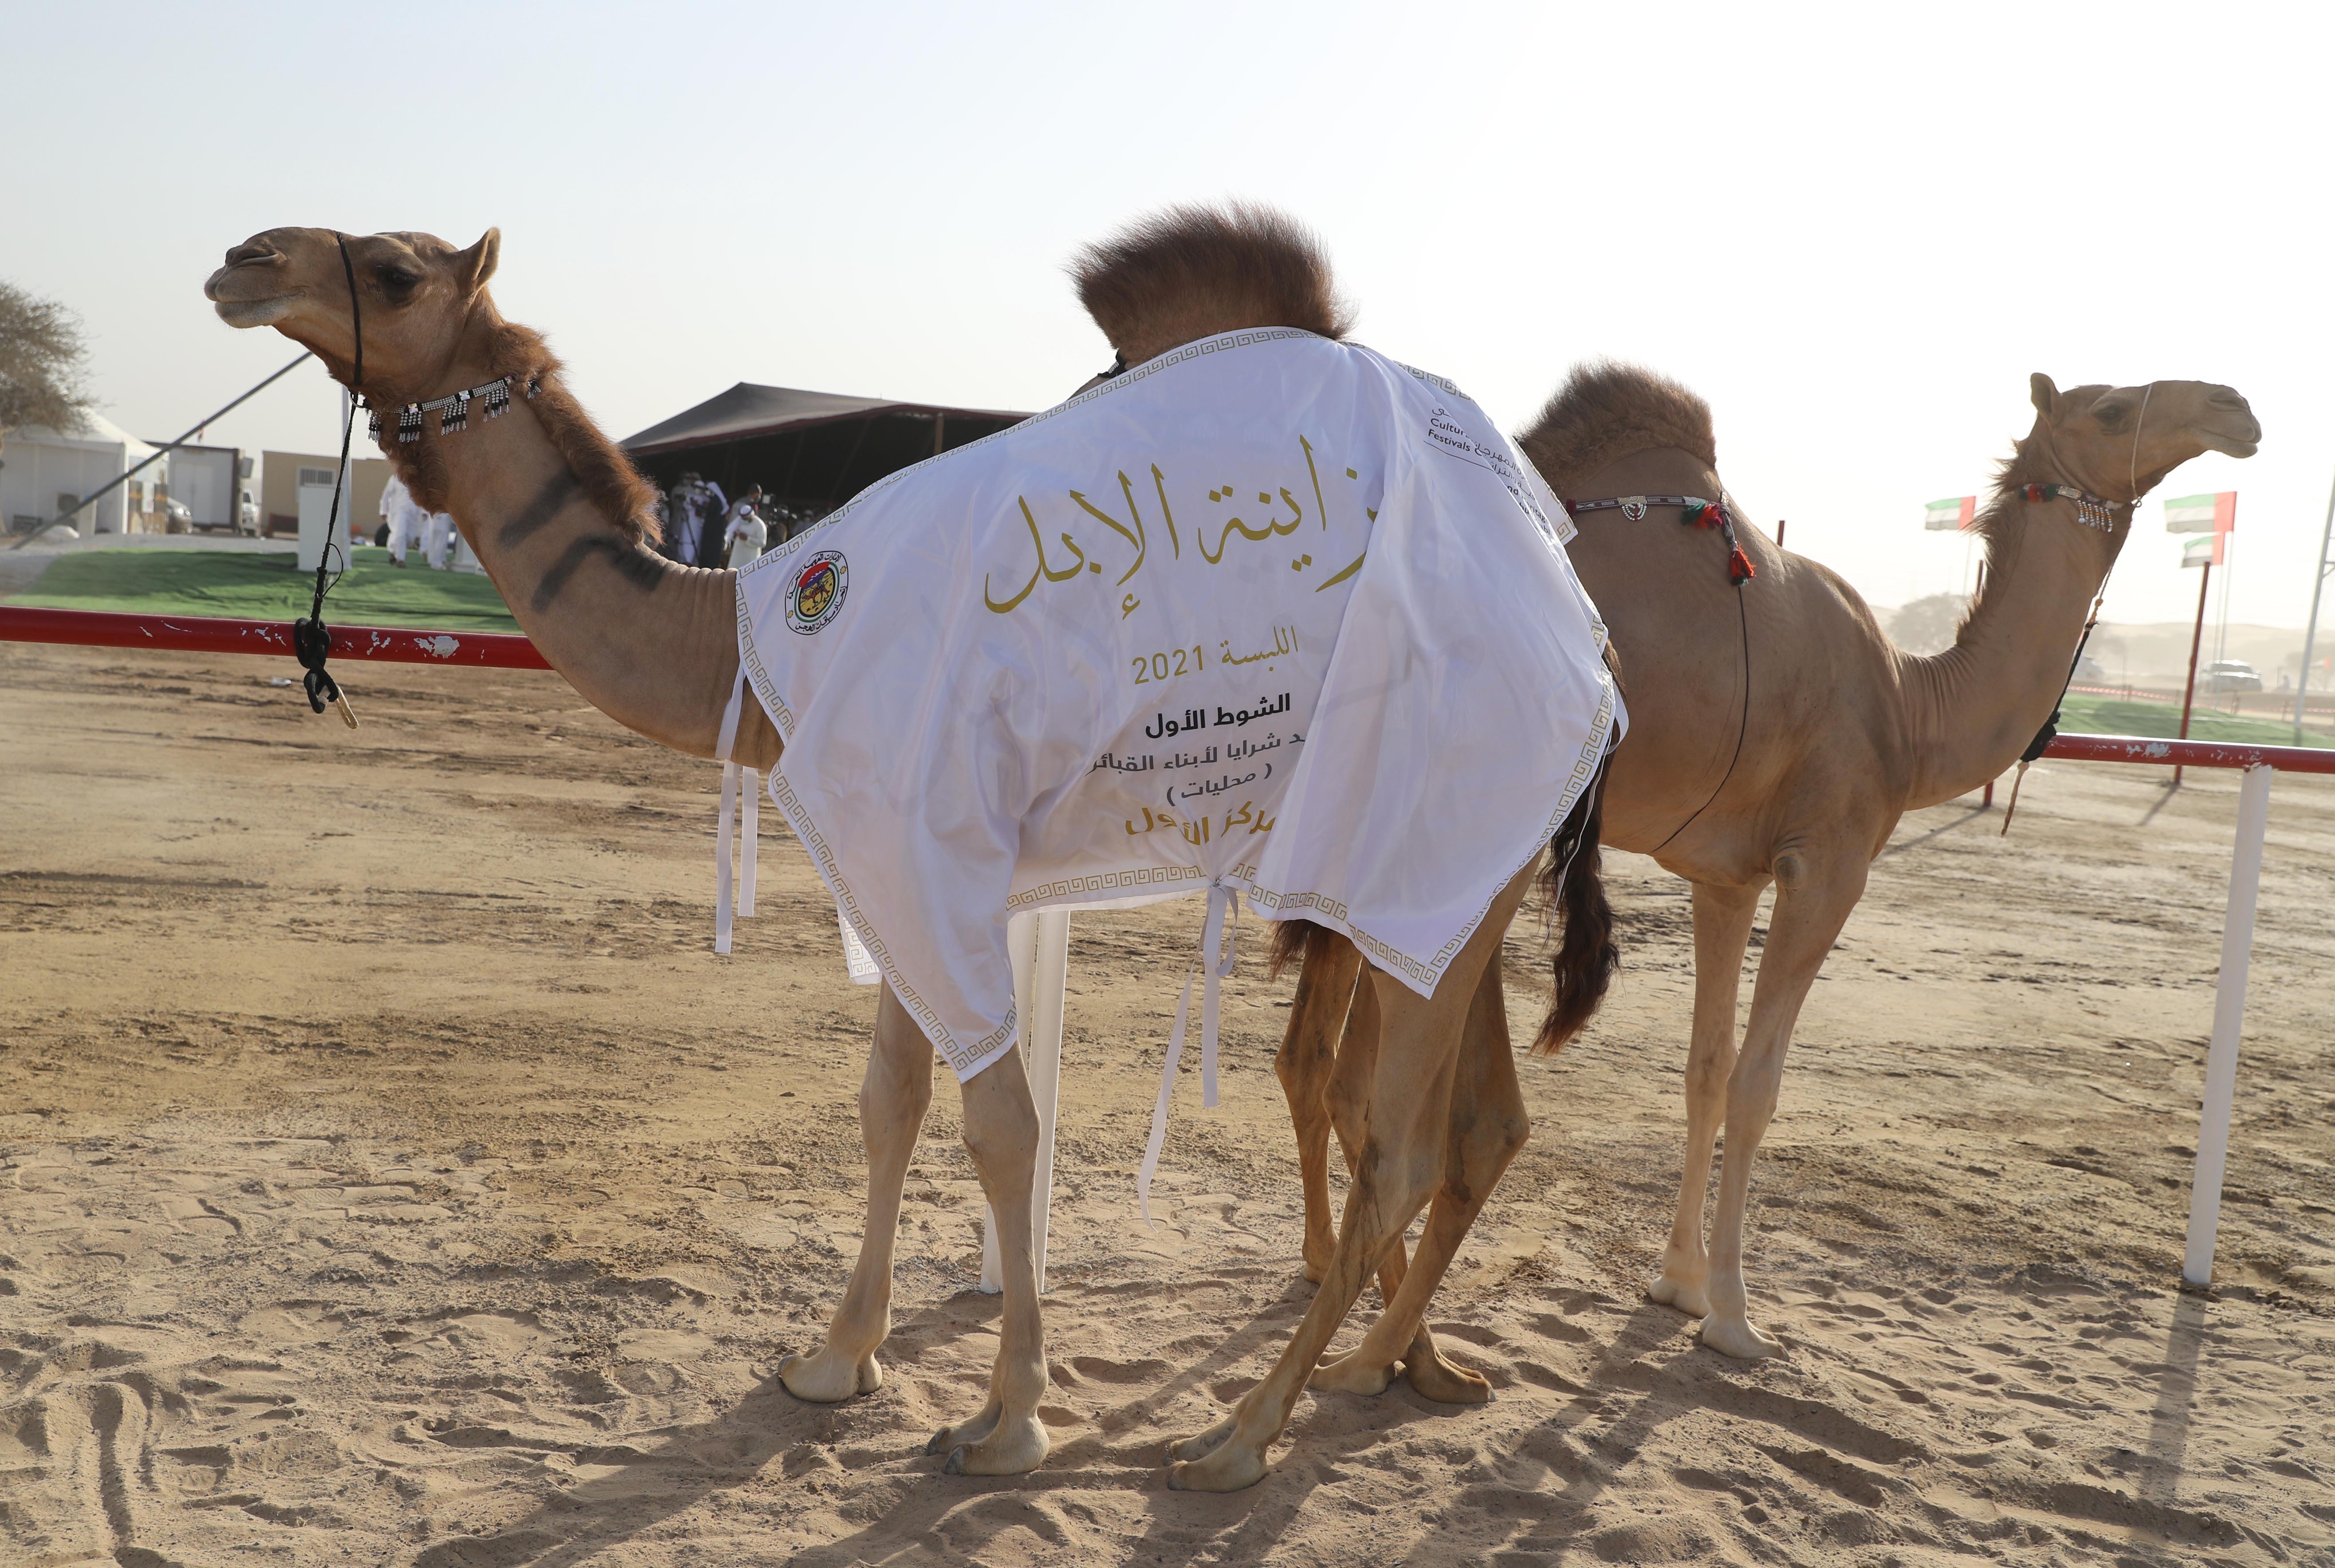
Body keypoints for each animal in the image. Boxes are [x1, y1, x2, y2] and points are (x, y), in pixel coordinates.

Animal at [200, 211, 1616, 1484]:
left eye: (394, 268)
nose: (242, 261)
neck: (745, 639)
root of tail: (1580, 621)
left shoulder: (928, 842)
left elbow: (1003, 1125)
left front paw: (1009, 1421)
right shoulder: (887, 849)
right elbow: (892, 1101)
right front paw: (837, 1358)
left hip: (1423, 822)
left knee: (1404, 1146)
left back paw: (1241, 1435)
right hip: (1458, 873)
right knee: (1478, 1121)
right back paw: (1396, 1365)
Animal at [1279, 361, 2260, 1362]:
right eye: (2110, 409)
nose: (2235, 408)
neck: (1910, 709)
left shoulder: (1727, 877)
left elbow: (1705, 1070)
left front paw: (1675, 1282)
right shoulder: (1826, 864)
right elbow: (1757, 1083)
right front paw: (1732, 1314)